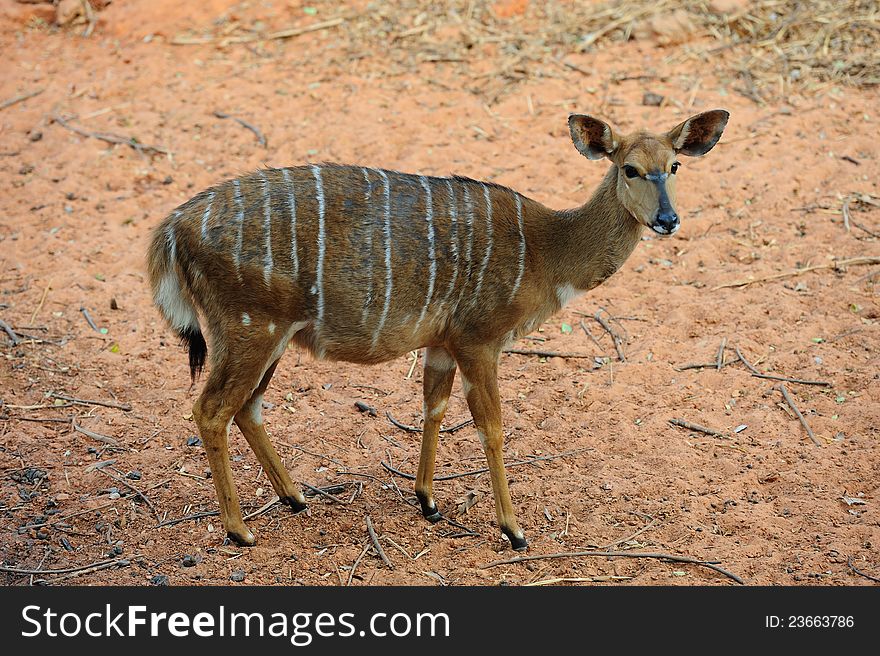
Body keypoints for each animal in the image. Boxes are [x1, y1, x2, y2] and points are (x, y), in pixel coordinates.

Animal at [150, 110, 728, 552]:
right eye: (629, 168)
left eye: (674, 165)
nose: (668, 220)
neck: (547, 251)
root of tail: (172, 230)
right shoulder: (480, 340)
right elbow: (491, 427)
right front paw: (513, 530)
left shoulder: (443, 343)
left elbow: (434, 407)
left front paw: (427, 501)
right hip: (249, 328)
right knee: (211, 409)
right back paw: (239, 530)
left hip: (271, 336)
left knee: (246, 406)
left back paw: (296, 498)